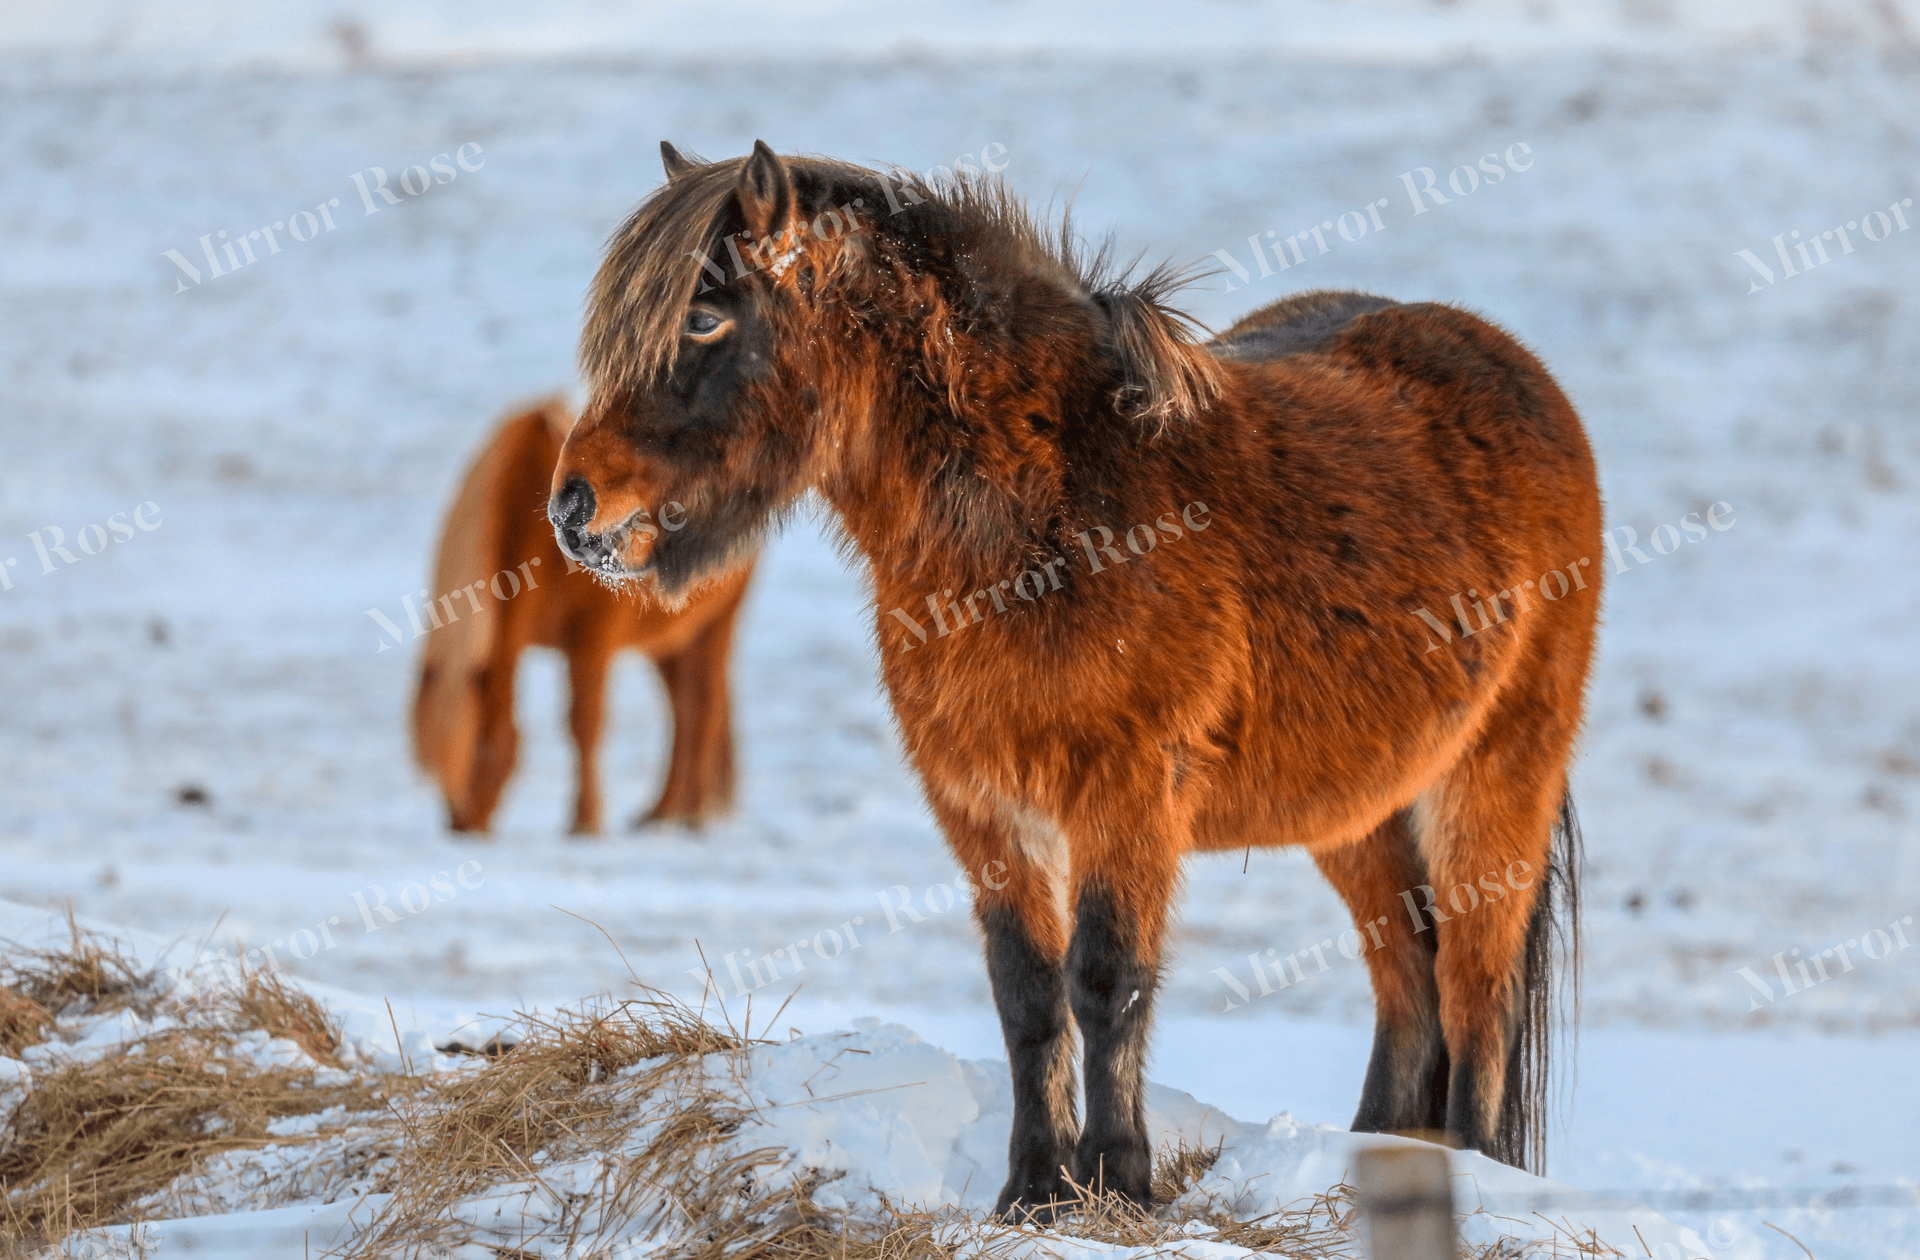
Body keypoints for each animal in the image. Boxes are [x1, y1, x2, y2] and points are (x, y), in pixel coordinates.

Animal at [411, 398, 755, 835]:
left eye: (475, 753)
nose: (462, 831)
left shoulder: (592, 637)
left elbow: (584, 726)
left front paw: (584, 823)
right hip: (670, 642)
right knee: (684, 709)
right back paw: (662, 811)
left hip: (718, 623)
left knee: (703, 707)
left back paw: (686, 815)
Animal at [548, 142, 1600, 1215]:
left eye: (706, 317)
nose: (574, 509)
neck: (1046, 516)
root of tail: (1511, 368)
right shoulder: (982, 807)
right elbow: (1027, 991)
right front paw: (1033, 1189)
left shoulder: (1126, 797)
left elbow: (1106, 981)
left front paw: (1120, 1182)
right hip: (1358, 809)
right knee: (1409, 981)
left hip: (1494, 778)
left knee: (1476, 987)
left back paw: (1481, 1174)